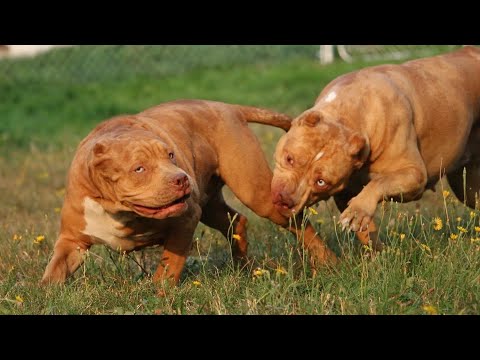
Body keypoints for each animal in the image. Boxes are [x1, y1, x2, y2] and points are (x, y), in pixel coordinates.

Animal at [42, 99, 338, 286]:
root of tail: (227, 107)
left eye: (170, 155)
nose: (181, 179)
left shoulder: (185, 219)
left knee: (298, 222)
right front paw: (47, 294)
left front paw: (157, 293)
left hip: (257, 194)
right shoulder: (71, 241)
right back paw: (242, 268)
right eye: (139, 168)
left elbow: (169, 264)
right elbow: (55, 269)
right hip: (210, 205)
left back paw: (329, 262)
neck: (116, 208)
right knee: (235, 221)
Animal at [272, 46, 480, 252]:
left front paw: (358, 211)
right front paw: (378, 253)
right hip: (465, 185)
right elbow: (366, 233)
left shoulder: (415, 175)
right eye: (290, 158)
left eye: (321, 182)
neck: (349, 116)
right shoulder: (344, 192)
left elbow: (380, 182)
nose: (284, 200)